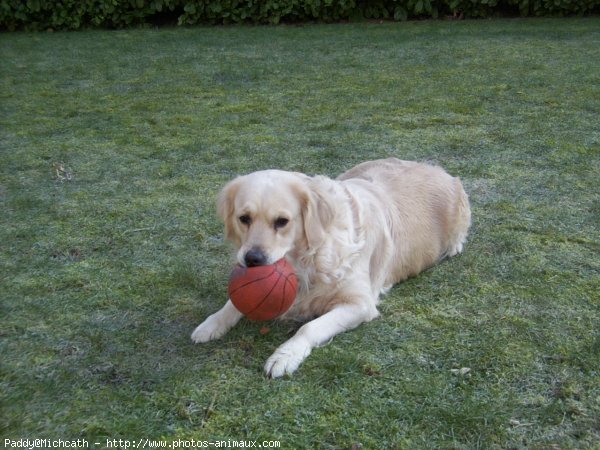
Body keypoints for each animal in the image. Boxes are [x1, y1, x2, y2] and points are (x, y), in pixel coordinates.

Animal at [190, 158, 472, 376]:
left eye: (282, 221)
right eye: (244, 218)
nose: (252, 259)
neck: (306, 261)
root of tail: (440, 170)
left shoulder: (360, 304)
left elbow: (308, 327)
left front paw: (284, 355)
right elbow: (232, 303)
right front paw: (211, 324)